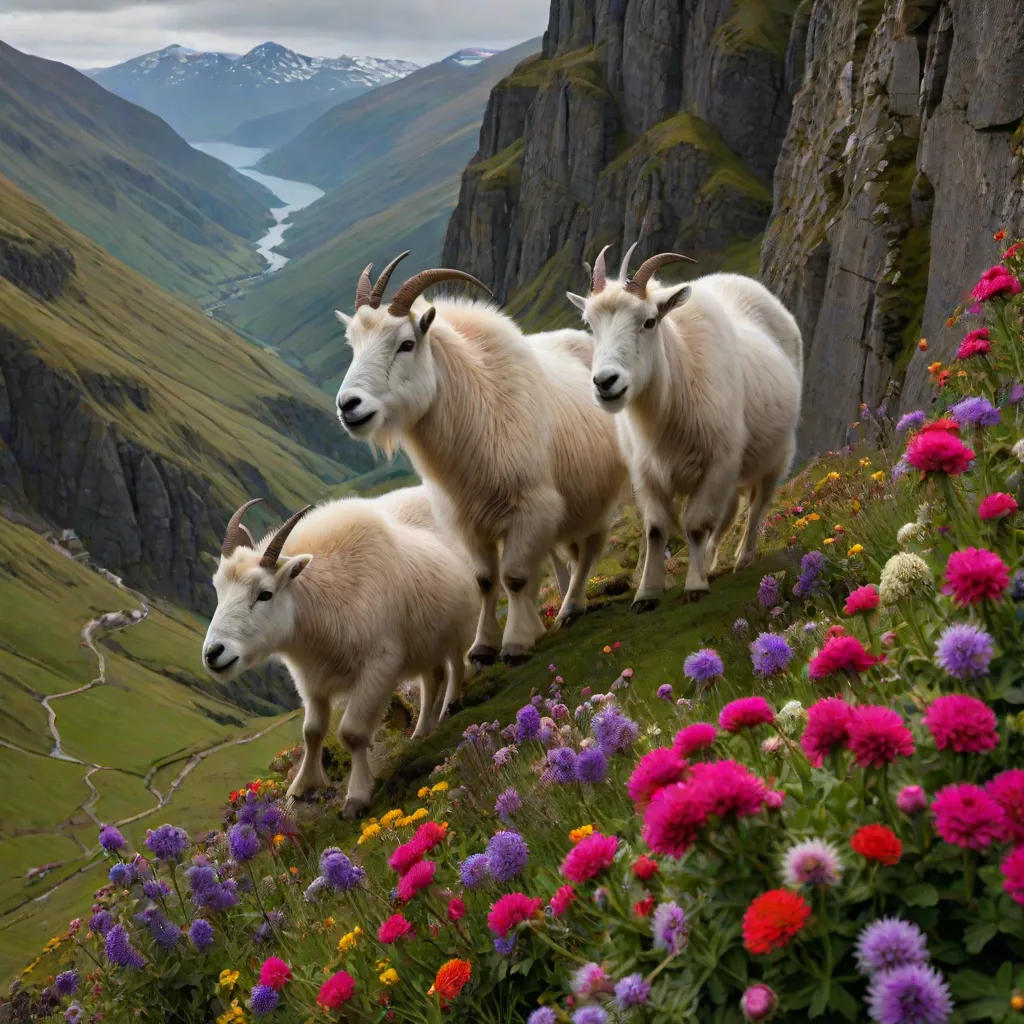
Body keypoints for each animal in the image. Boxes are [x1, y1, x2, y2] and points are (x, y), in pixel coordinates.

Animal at [202, 495, 476, 817]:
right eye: (218, 589)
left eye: (265, 594)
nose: (213, 653)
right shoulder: (310, 679)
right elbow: (312, 732)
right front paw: (301, 788)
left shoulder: (378, 667)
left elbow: (352, 733)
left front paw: (356, 796)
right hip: (424, 643)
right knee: (432, 678)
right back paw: (421, 731)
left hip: (458, 626)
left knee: (456, 666)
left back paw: (450, 707)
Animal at [334, 253, 627, 664]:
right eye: (353, 345)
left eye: (406, 344)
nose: (349, 406)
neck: (480, 409)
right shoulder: (467, 523)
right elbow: (486, 581)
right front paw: (483, 646)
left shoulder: (530, 510)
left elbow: (514, 577)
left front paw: (516, 643)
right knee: (569, 553)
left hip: (604, 490)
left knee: (592, 548)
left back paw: (576, 605)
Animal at [567, 245, 802, 608]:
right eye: (591, 325)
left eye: (649, 321)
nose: (605, 382)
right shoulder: (647, 472)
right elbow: (655, 529)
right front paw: (647, 593)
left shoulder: (717, 463)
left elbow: (695, 526)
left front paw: (695, 585)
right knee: (730, 510)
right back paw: (710, 560)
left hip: (775, 453)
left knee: (757, 505)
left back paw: (742, 558)